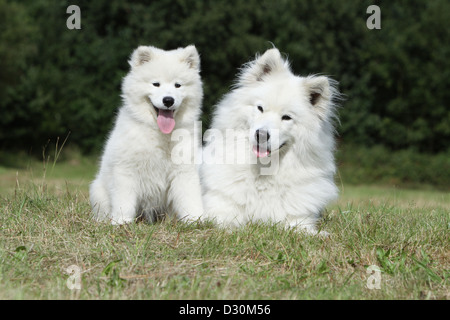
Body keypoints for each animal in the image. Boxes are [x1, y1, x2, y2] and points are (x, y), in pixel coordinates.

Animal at [90, 45, 203, 225]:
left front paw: (197, 220)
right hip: (97, 191)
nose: (168, 100)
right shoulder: (126, 170)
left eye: (178, 85)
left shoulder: (183, 170)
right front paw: (122, 222)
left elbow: (190, 198)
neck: (159, 133)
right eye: (156, 84)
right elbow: (124, 200)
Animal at [201, 48, 342, 235]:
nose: (261, 134)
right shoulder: (221, 209)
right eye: (260, 108)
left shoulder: (298, 219)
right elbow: (225, 223)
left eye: (286, 117)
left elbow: (301, 229)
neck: (263, 171)